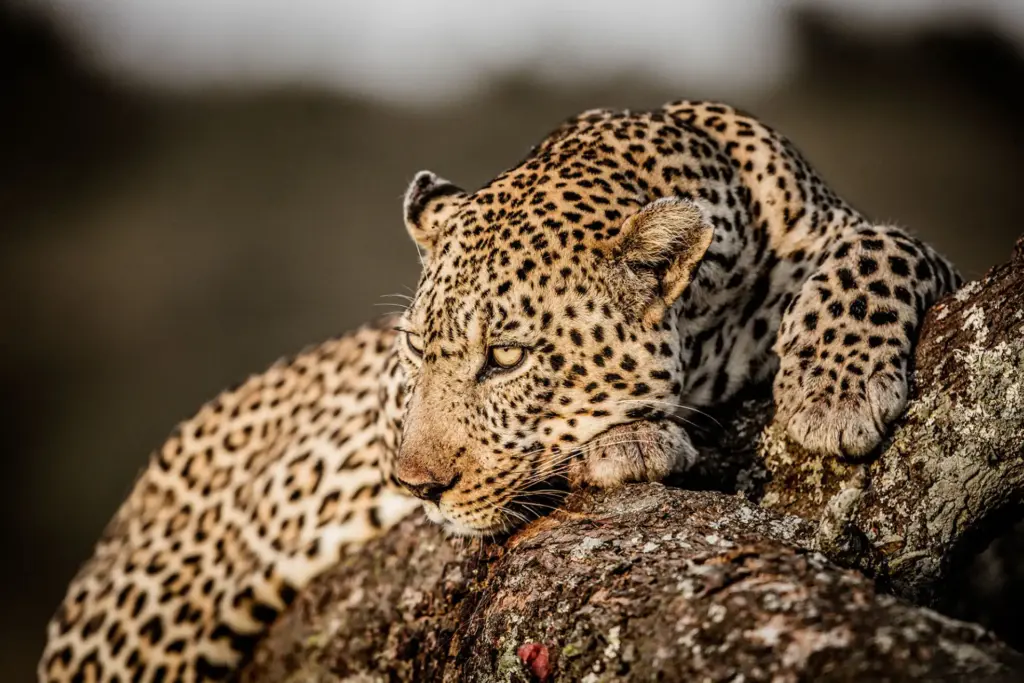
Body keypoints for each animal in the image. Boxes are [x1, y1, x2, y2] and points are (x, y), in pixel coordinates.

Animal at [39, 100, 960, 682]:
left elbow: (887, 244)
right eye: (417, 347)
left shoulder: (852, 233)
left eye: (508, 356)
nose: (415, 486)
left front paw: (833, 389)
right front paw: (633, 438)